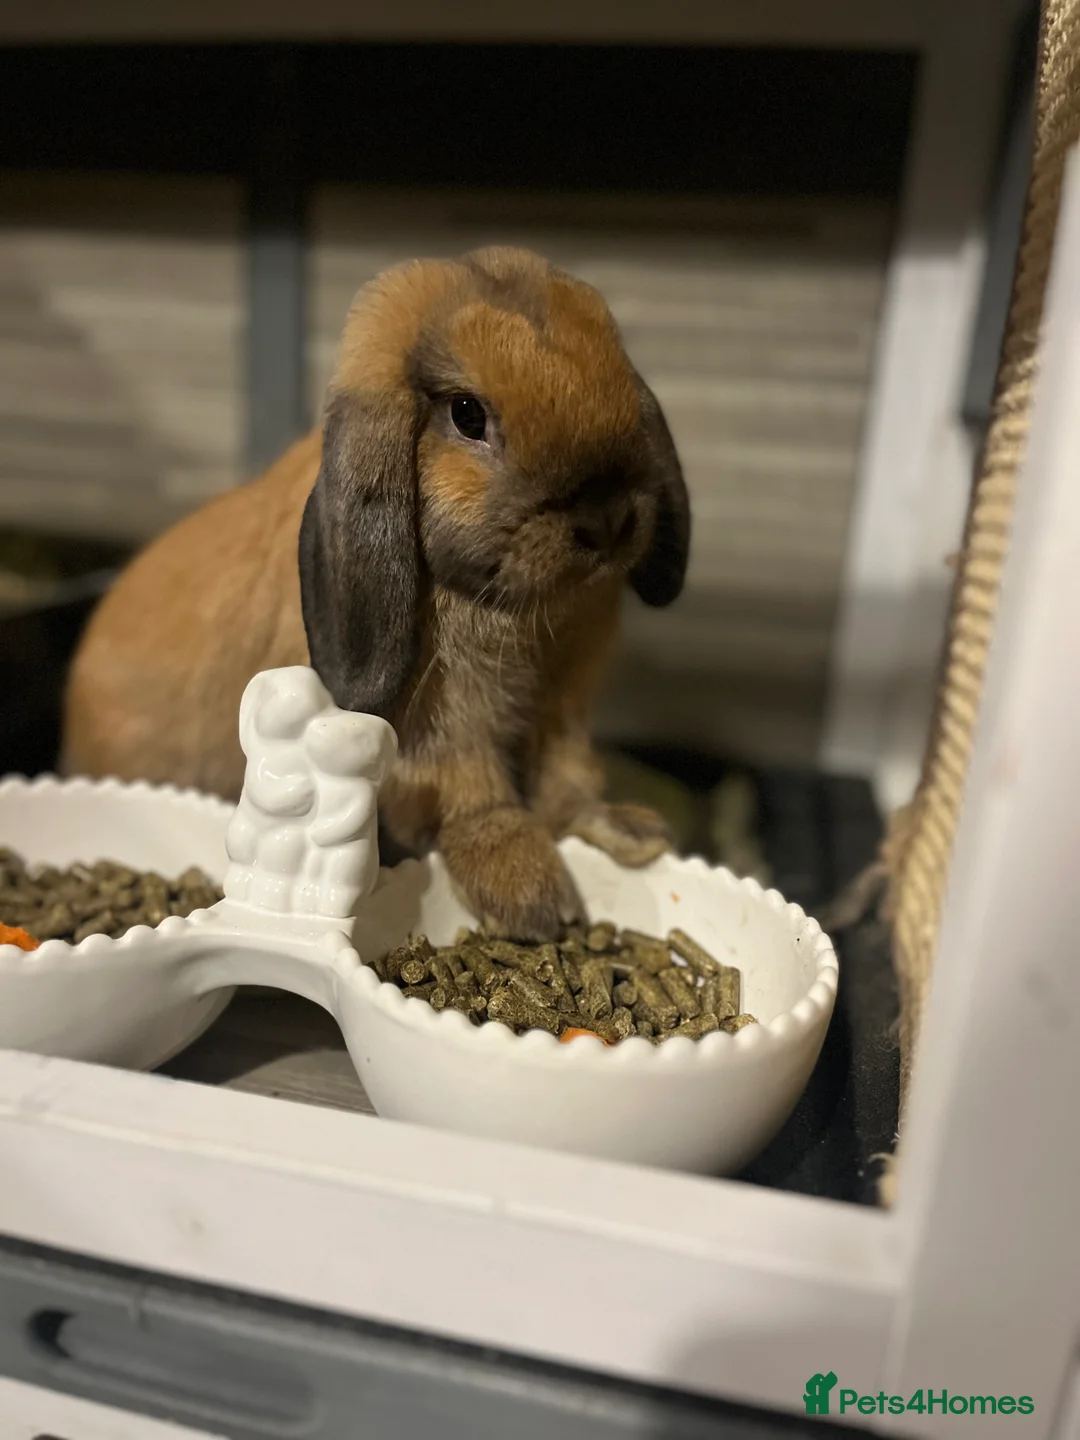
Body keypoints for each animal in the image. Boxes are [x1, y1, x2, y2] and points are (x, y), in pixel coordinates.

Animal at [63, 246, 691, 941]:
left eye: (619, 367)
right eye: (467, 414)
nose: (608, 520)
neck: (516, 605)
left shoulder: (565, 704)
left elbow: (569, 776)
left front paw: (627, 833)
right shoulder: (439, 728)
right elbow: (471, 793)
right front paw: (531, 897)